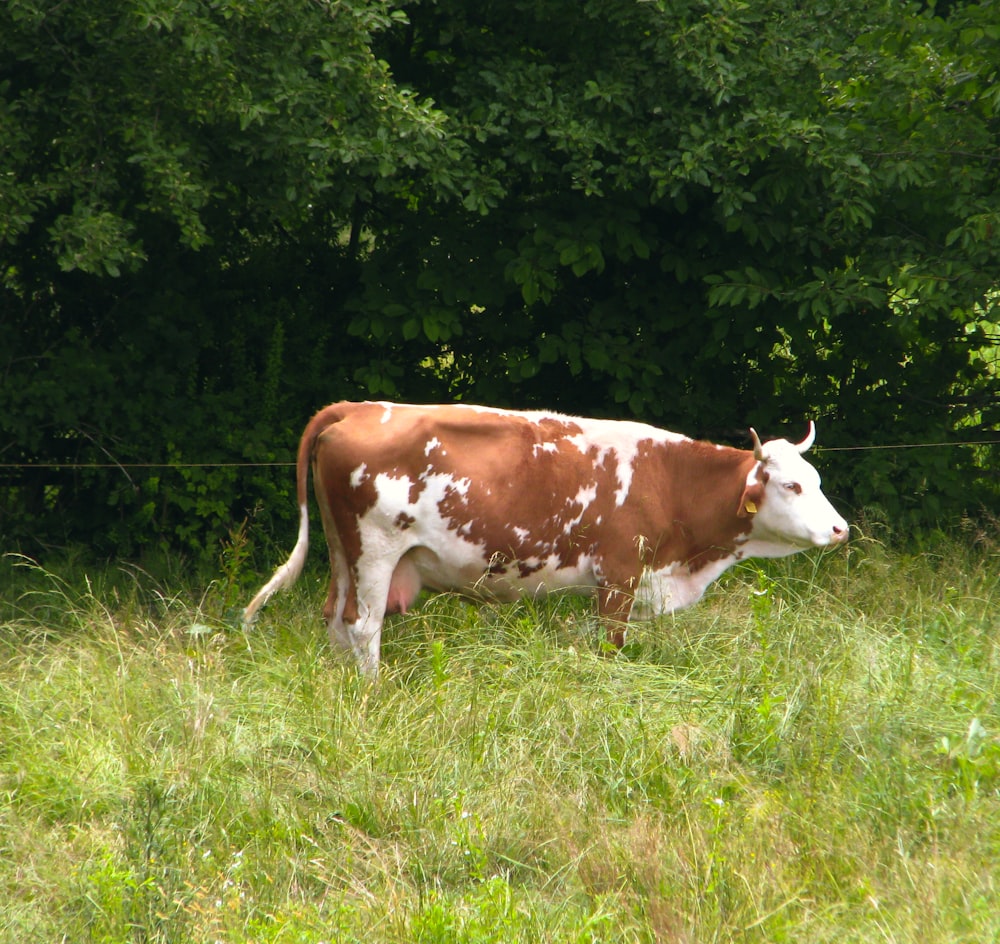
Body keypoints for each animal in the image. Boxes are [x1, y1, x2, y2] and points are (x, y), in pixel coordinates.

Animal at [246, 402, 848, 676]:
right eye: (792, 485)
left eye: (817, 479)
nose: (840, 529)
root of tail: (359, 407)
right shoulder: (619, 576)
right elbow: (611, 646)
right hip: (375, 550)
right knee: (363, 626)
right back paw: (374, 692)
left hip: (341, 549)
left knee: (334, 616)